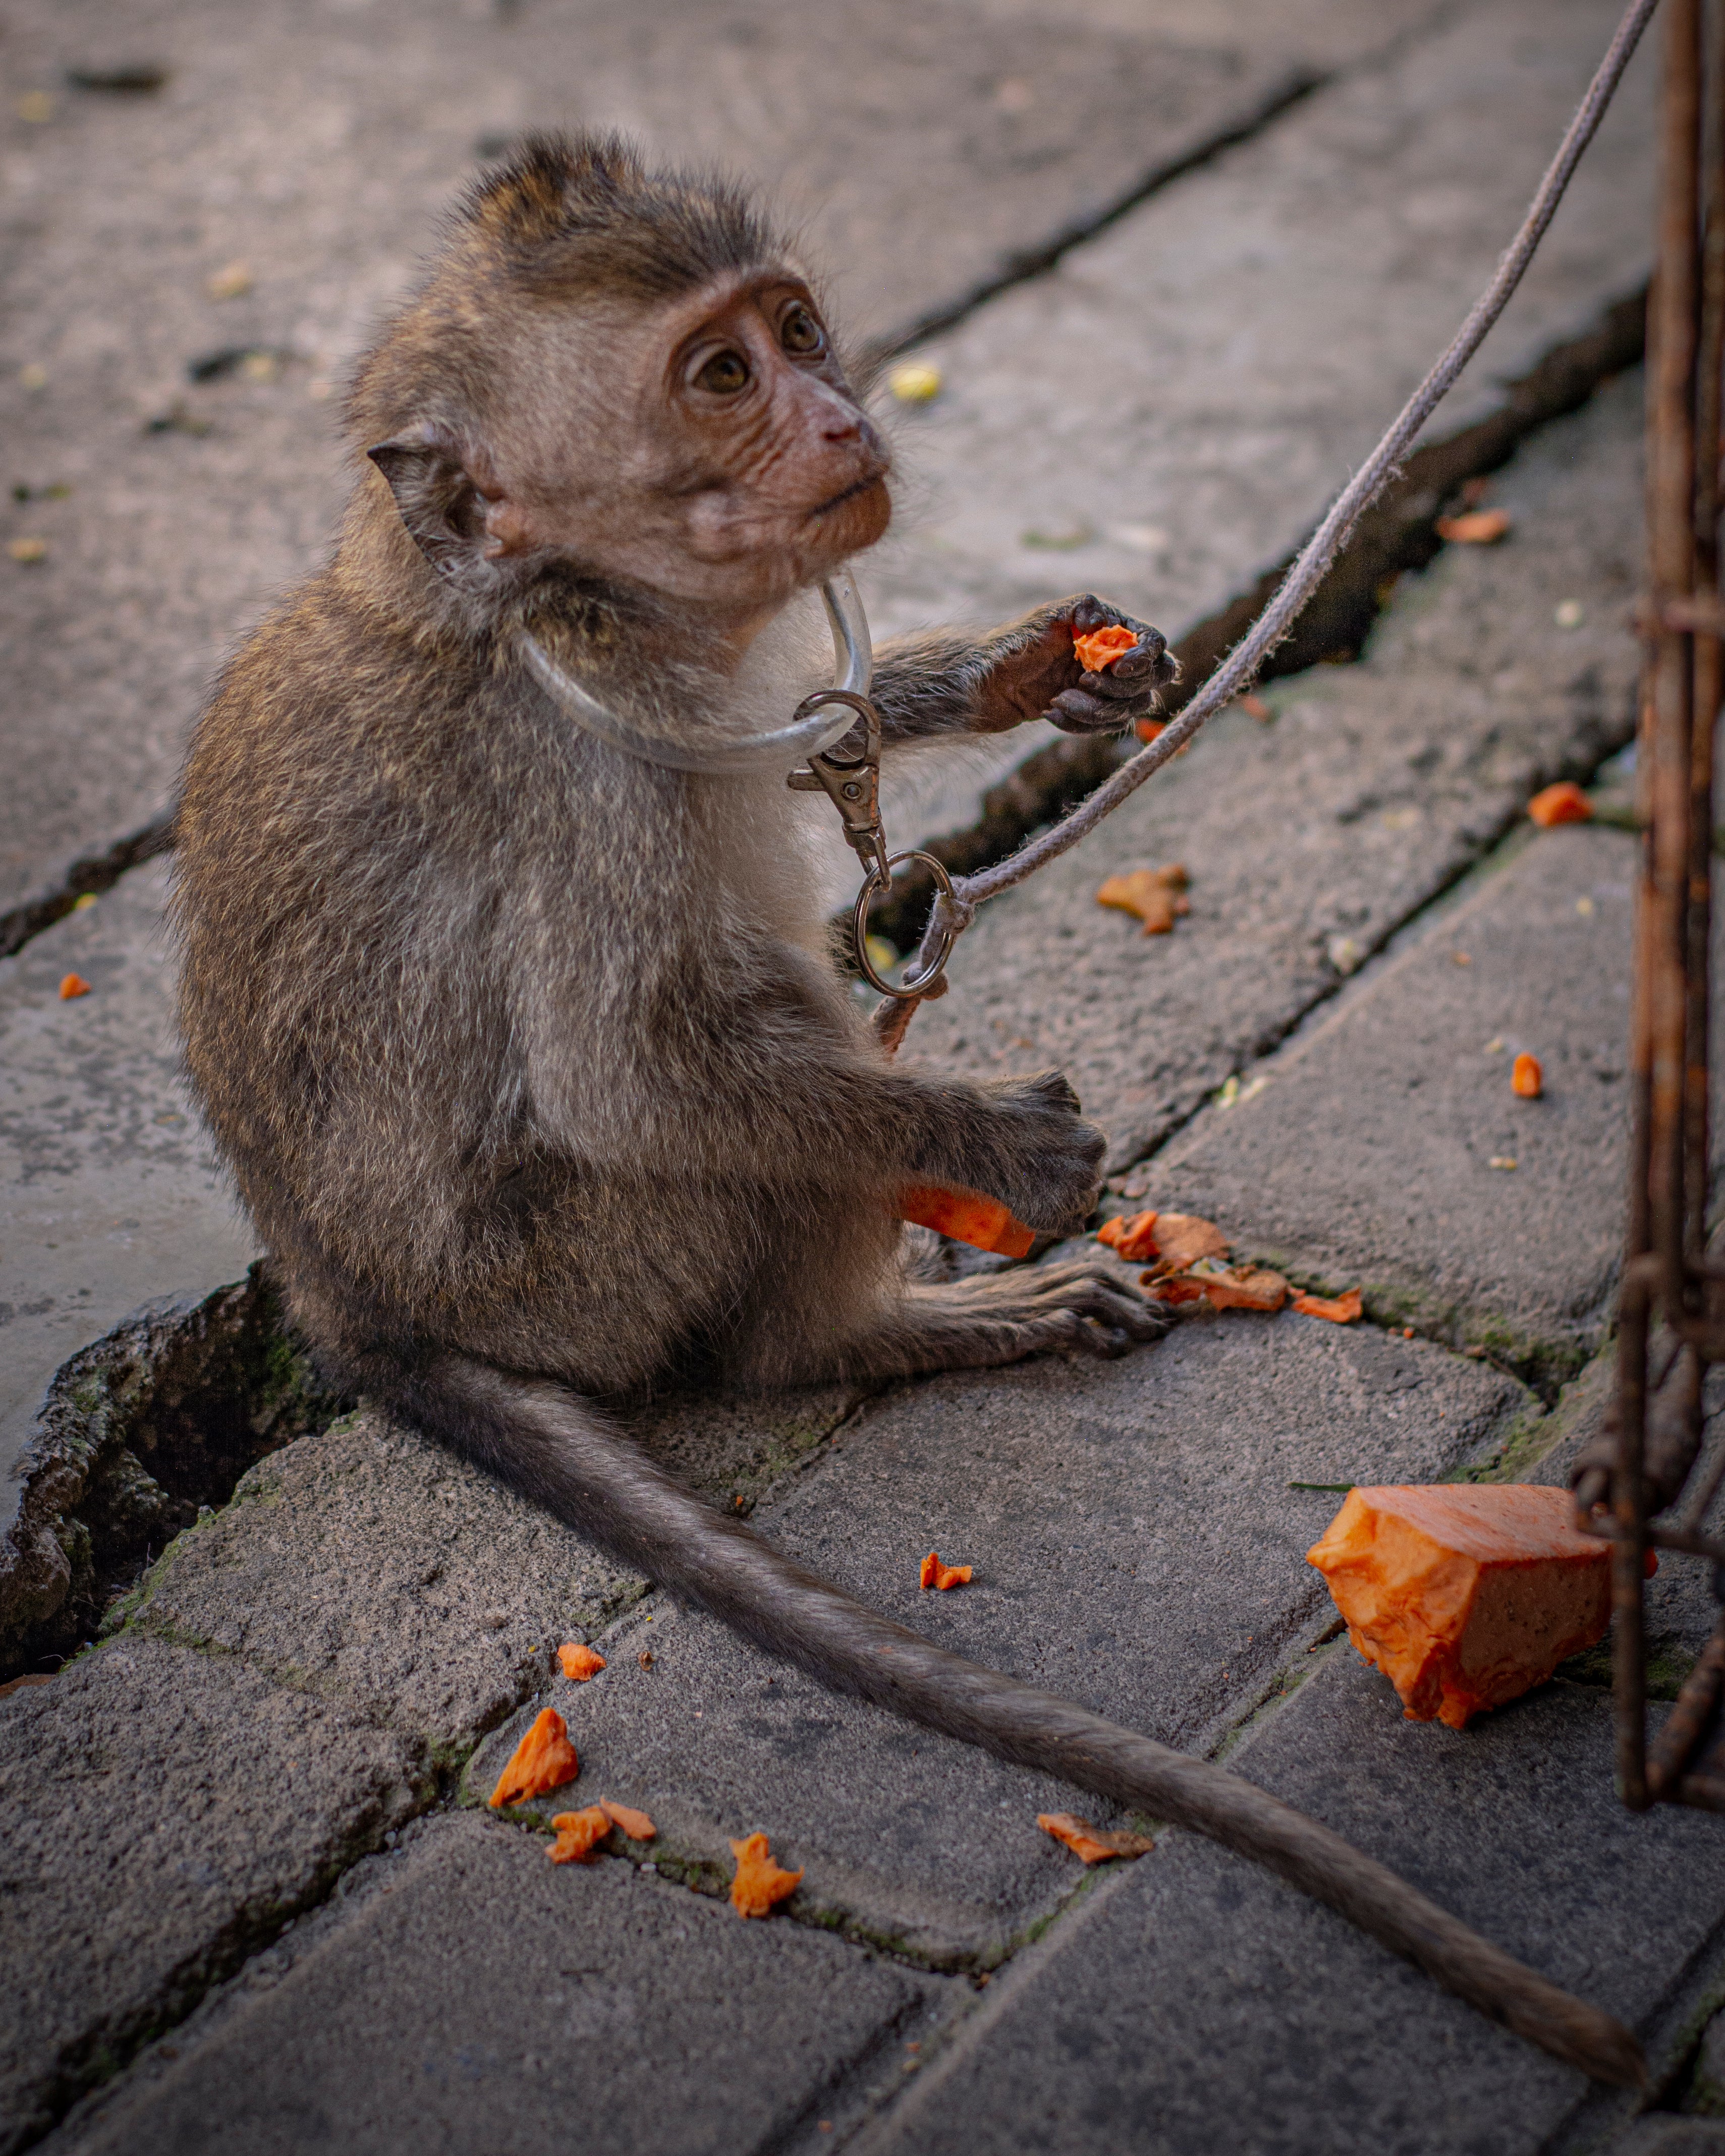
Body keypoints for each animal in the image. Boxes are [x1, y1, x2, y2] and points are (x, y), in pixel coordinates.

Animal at [171, 135, 1647, 2087]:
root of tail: (361, 1315)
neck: (557, 605)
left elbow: (830, 721)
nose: (836, 412)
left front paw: (1020, 663)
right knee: (748, 1089)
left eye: (796, 328)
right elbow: (632, 1070)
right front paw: (999, 1147)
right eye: (721, 375)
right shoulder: (588, 782)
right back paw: (889, 1325)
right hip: (585, 1267)